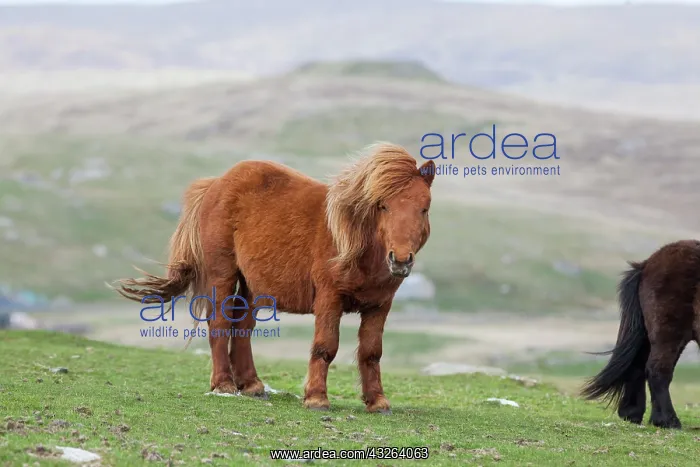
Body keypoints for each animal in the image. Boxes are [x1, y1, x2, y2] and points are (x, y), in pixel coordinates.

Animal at [114, 142, 436, 413]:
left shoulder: (380, 306)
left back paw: (251, 384)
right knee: (219, 323)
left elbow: (371, 352)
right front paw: (316, 398)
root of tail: (216, 183)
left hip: (252, 285)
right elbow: (325, 347)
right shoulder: (329, 298)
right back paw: (224, 385)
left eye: (424, 208)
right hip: (223, 275)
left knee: (242, 325)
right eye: (383, 206)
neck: (354, 241)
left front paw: (377, 402)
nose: (400, 260)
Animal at [581, 239, 700, 429]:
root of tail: (646, 264)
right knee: (657, 370)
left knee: (639, 366)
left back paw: (633, 413)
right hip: (668, 332)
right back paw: (668, 420)